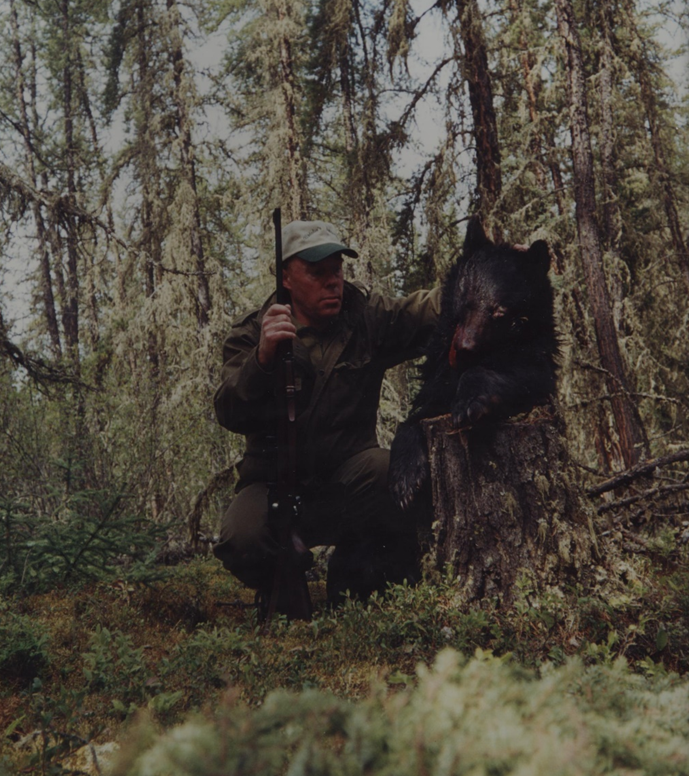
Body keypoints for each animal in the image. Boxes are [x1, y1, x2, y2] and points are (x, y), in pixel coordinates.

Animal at [390, 217, 556, 510]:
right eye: (466, 300)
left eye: (499, 310)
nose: (465, 348)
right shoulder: (438, 376)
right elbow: (419, 413)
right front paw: (406, 480)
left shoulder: (537, 355)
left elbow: (526, 374)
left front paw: (468, 405)